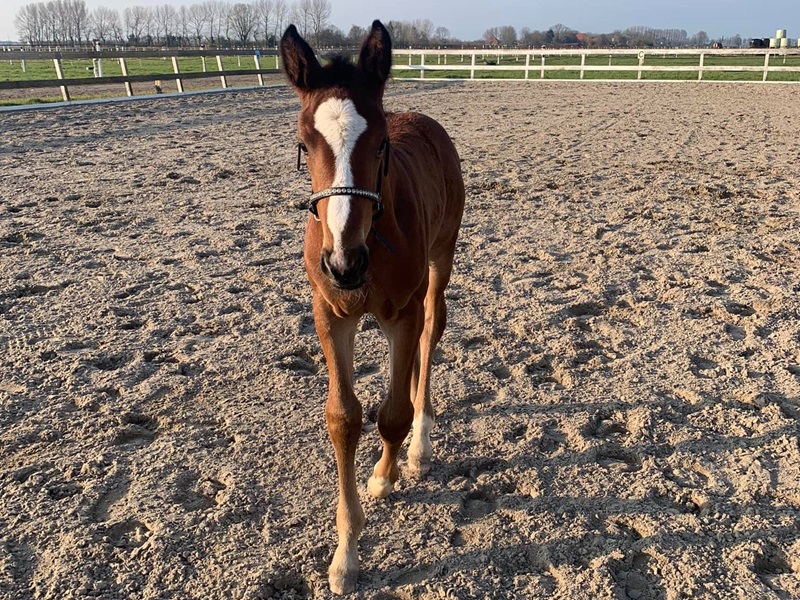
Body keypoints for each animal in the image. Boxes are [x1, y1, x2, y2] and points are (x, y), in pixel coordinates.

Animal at [280, 20, 465, 594]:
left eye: (380, 143)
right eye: (304, 143)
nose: (344, 264)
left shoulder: (401, 312)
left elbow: (392, 413)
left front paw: (385, 474)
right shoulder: (330, 313)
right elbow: (344, 418)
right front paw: (346, 556)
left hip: (440, 260)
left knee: (431, 333)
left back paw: (419, 446)